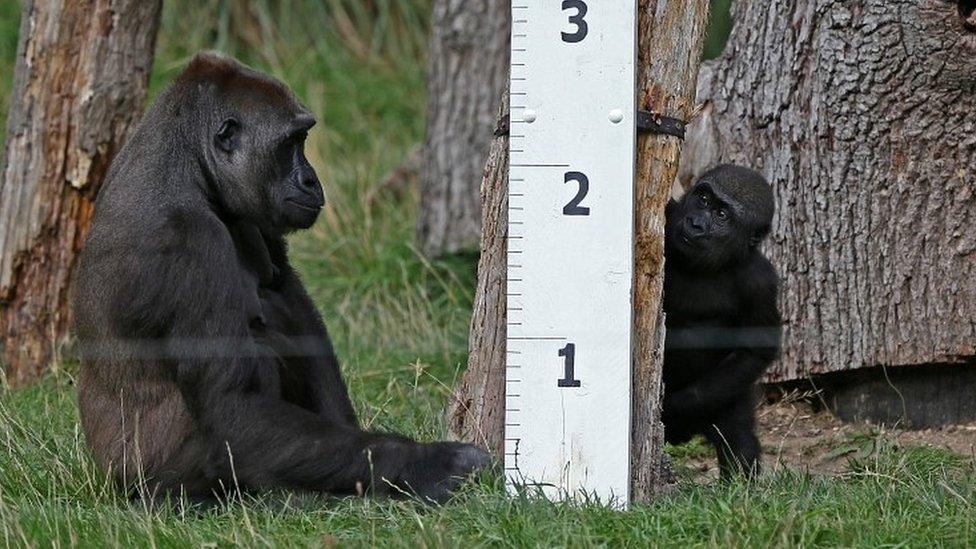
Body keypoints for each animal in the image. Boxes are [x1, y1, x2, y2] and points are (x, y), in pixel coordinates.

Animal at [72, 53, 492, 504]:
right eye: (291, 143)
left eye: (302, 139)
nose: (311, 180)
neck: (186, 163)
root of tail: (108, 476)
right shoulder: (187, 243)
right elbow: (232, 406)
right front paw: (426, 464)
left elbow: (287, 293)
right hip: (152, 482)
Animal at [660, 164, 780, 476]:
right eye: (703, 199)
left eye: (722, 215)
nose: (695, 224)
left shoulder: (761, 282)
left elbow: (755, 351)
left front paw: (674, 413)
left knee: (739, 440)